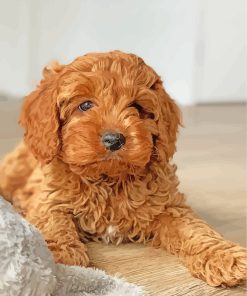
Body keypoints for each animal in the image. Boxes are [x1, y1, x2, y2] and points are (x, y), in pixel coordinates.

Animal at [0, 51, 247, 286]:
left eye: (137, 107)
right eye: (85, 105)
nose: (114, 139)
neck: (108, 178)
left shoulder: (168, 205)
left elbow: (194, 228)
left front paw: (224, 257)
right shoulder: (49, 199)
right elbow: (53, 222)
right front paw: (61, 255)